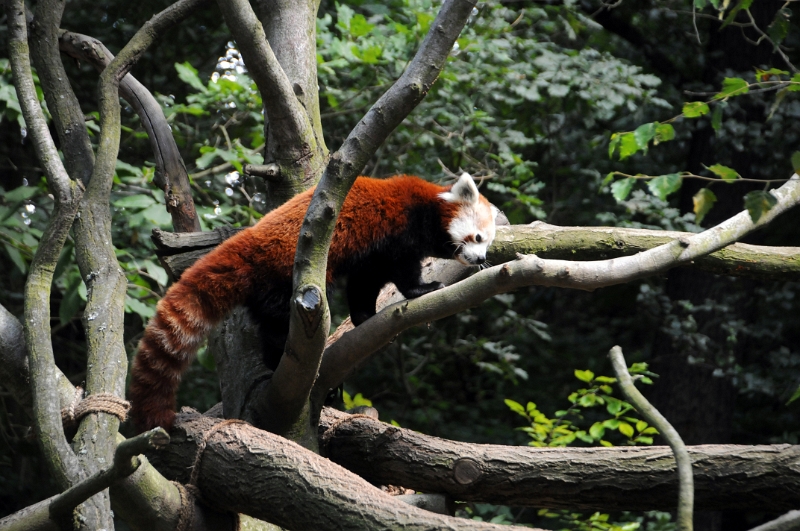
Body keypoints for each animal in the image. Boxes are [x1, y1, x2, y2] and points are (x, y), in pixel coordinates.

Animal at [128, 174, 496, 432]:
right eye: (477, 237)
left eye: (487, 242)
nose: (481, 259)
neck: (428, 209)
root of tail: (250, 241)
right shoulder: (399, 229)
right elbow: (402, 270)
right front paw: (422, 288)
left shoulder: (371, 255)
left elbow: (364, 283)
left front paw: (364, 316)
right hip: (285, 274)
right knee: (280, 325)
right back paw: (284, 361)